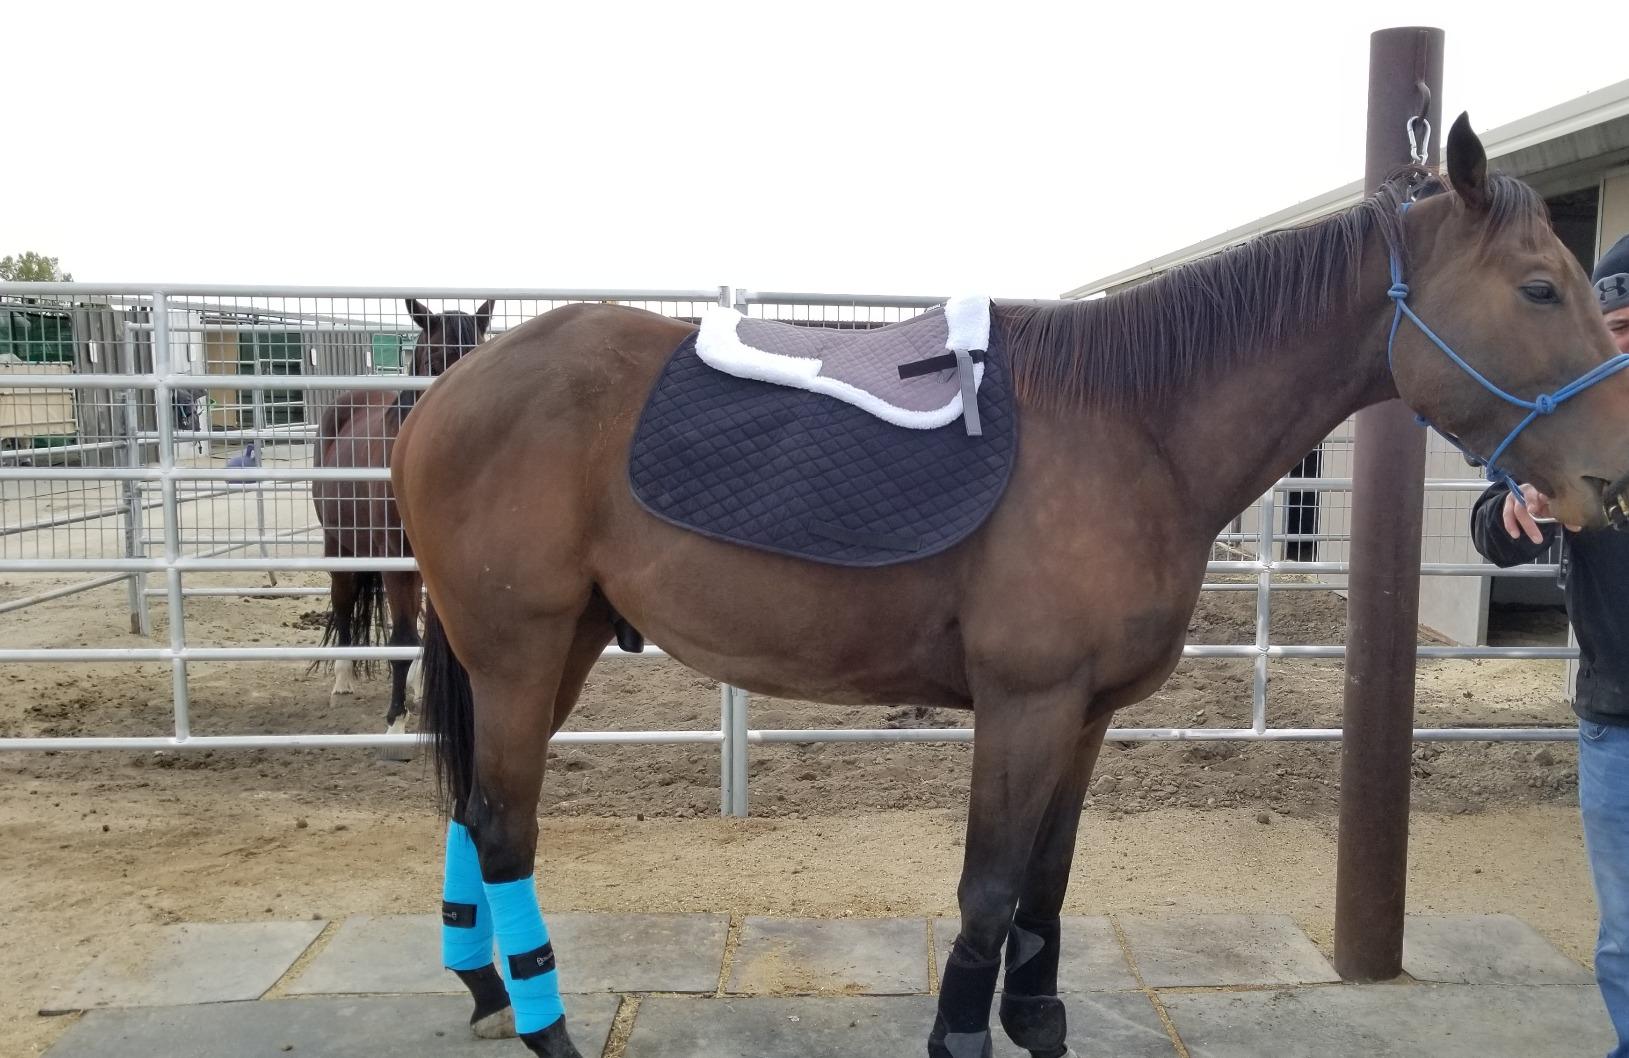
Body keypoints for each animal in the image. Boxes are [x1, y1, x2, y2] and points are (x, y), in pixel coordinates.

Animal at [311, 298, 492, 745]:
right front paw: (395, 722)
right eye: (436, 359)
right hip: (340, 547)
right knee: (343, 603)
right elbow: (403, 637)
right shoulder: (395, 562)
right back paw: (343, 680)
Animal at [390, 118, 1629, 1058]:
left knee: (473, 810)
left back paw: (486, 988)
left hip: (558, 645)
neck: (1136, 425)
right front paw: (961, 1034)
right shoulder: (1026, 704)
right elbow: (989, 887)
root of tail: (453, 389)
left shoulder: (1084, 714)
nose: (1610, 476)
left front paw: (1038, 1021)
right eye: (1538, 287)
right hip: (518, 648)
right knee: (504, 825)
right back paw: (544, 1023)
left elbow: (1046, 881)